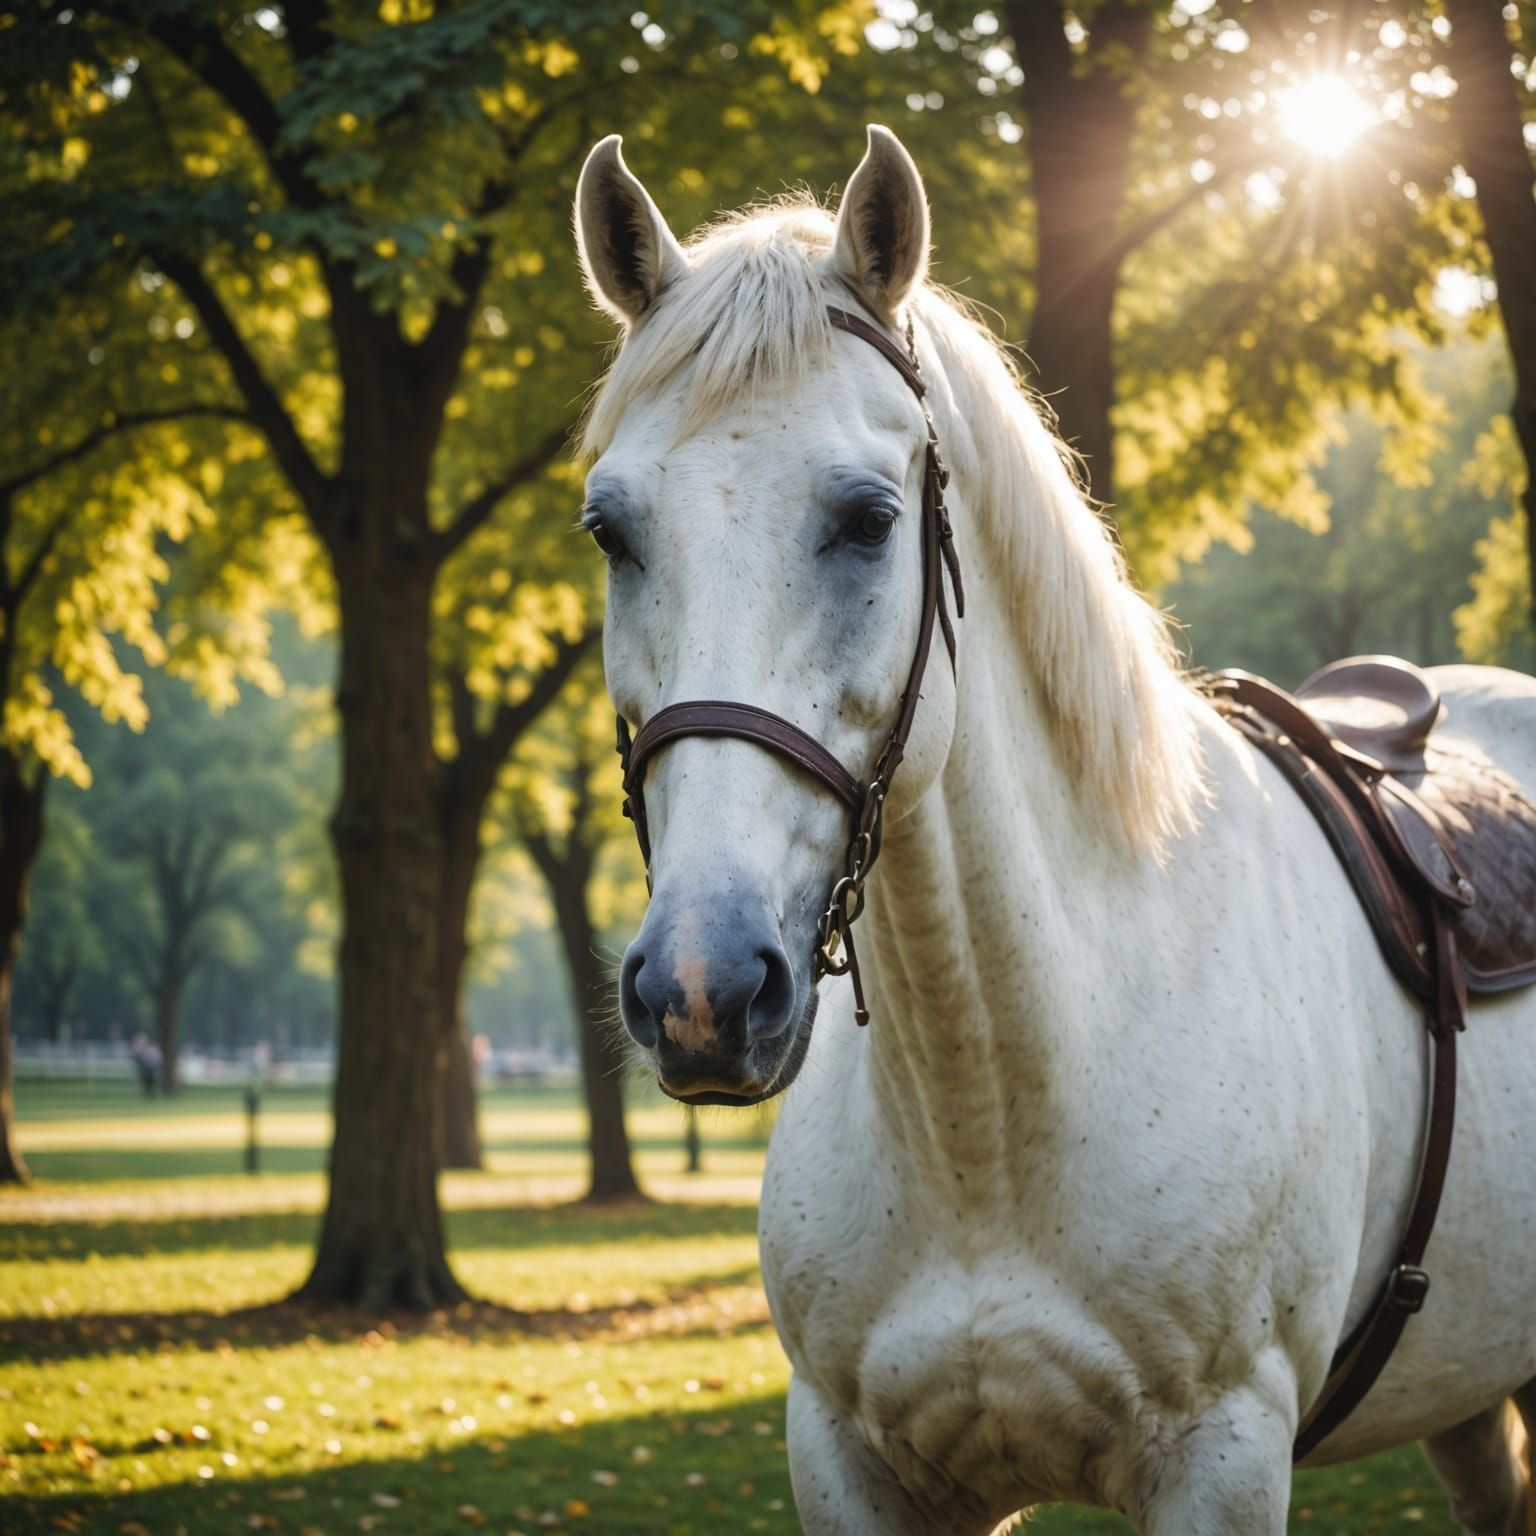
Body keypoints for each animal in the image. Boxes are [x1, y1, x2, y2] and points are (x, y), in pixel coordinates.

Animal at [571, 124, 1536, 1534]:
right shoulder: (851, 1465)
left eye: (867, 519)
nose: (702, 989)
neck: (996, 1105)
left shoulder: (1221, 1461)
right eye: (612, 531)